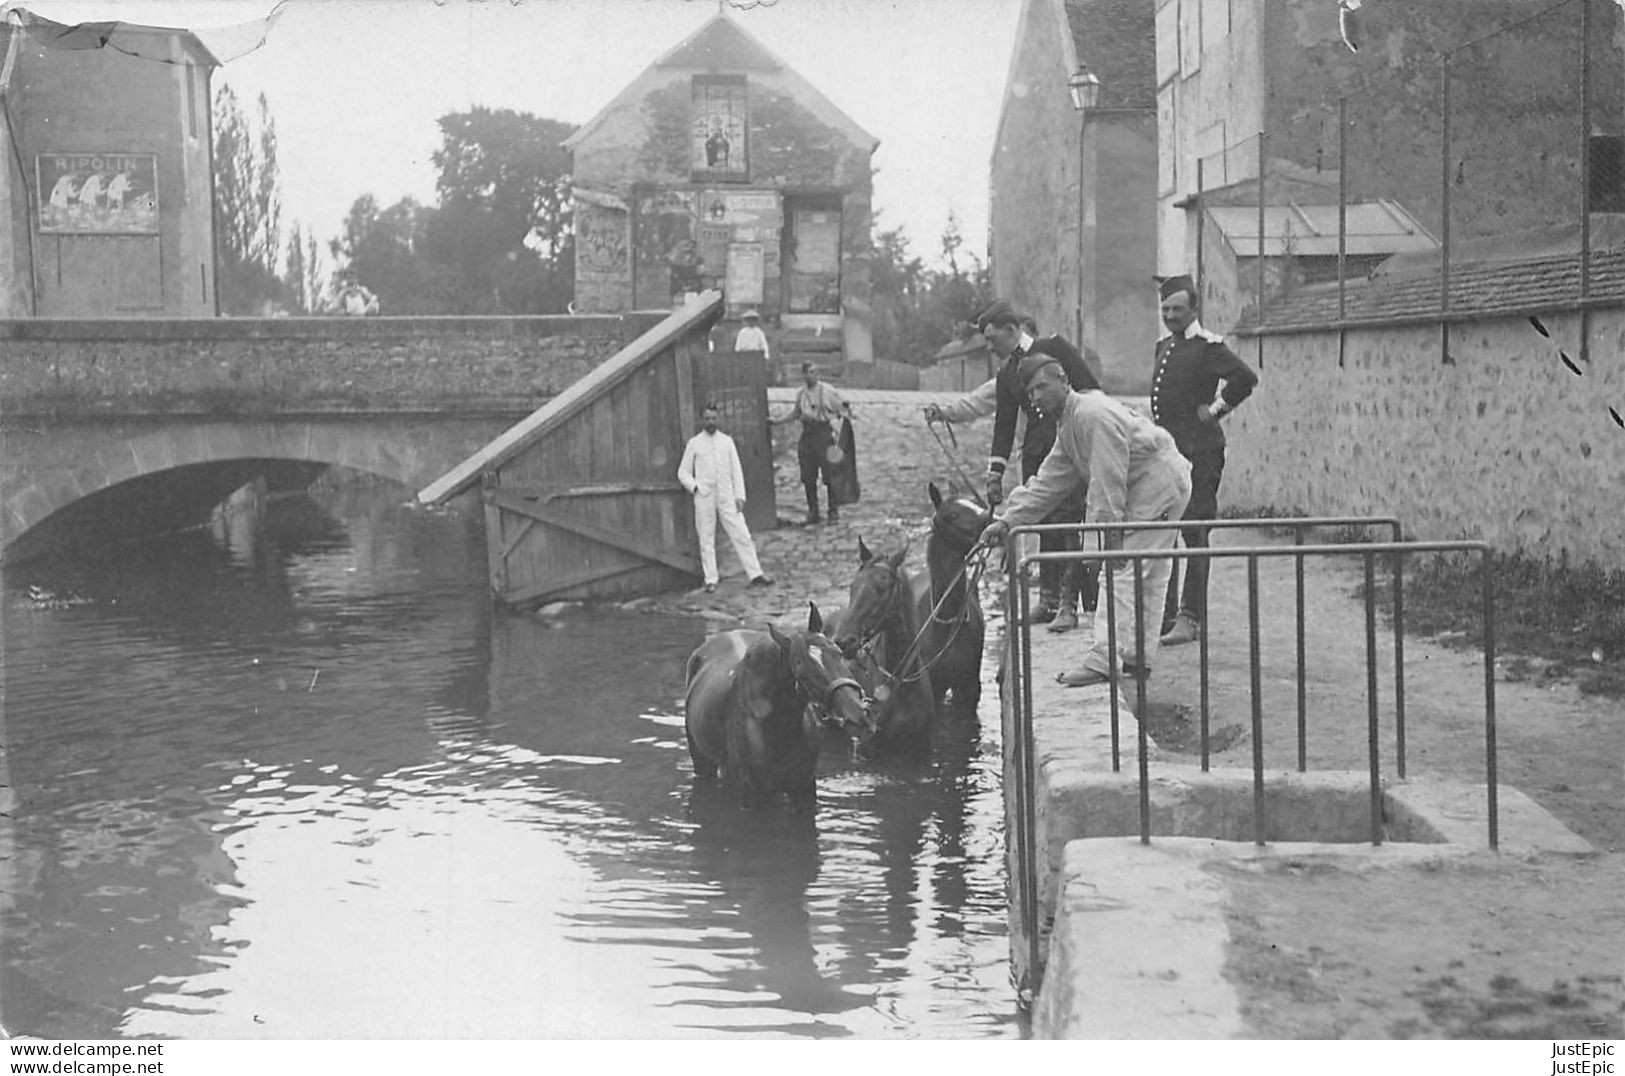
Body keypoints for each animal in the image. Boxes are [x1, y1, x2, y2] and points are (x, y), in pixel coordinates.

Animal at [685, 601, 877, 806]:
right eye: (800, 666)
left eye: (838, 652)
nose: (859, 716)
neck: (777, 729)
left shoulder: (804, 788)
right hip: (702, 763)